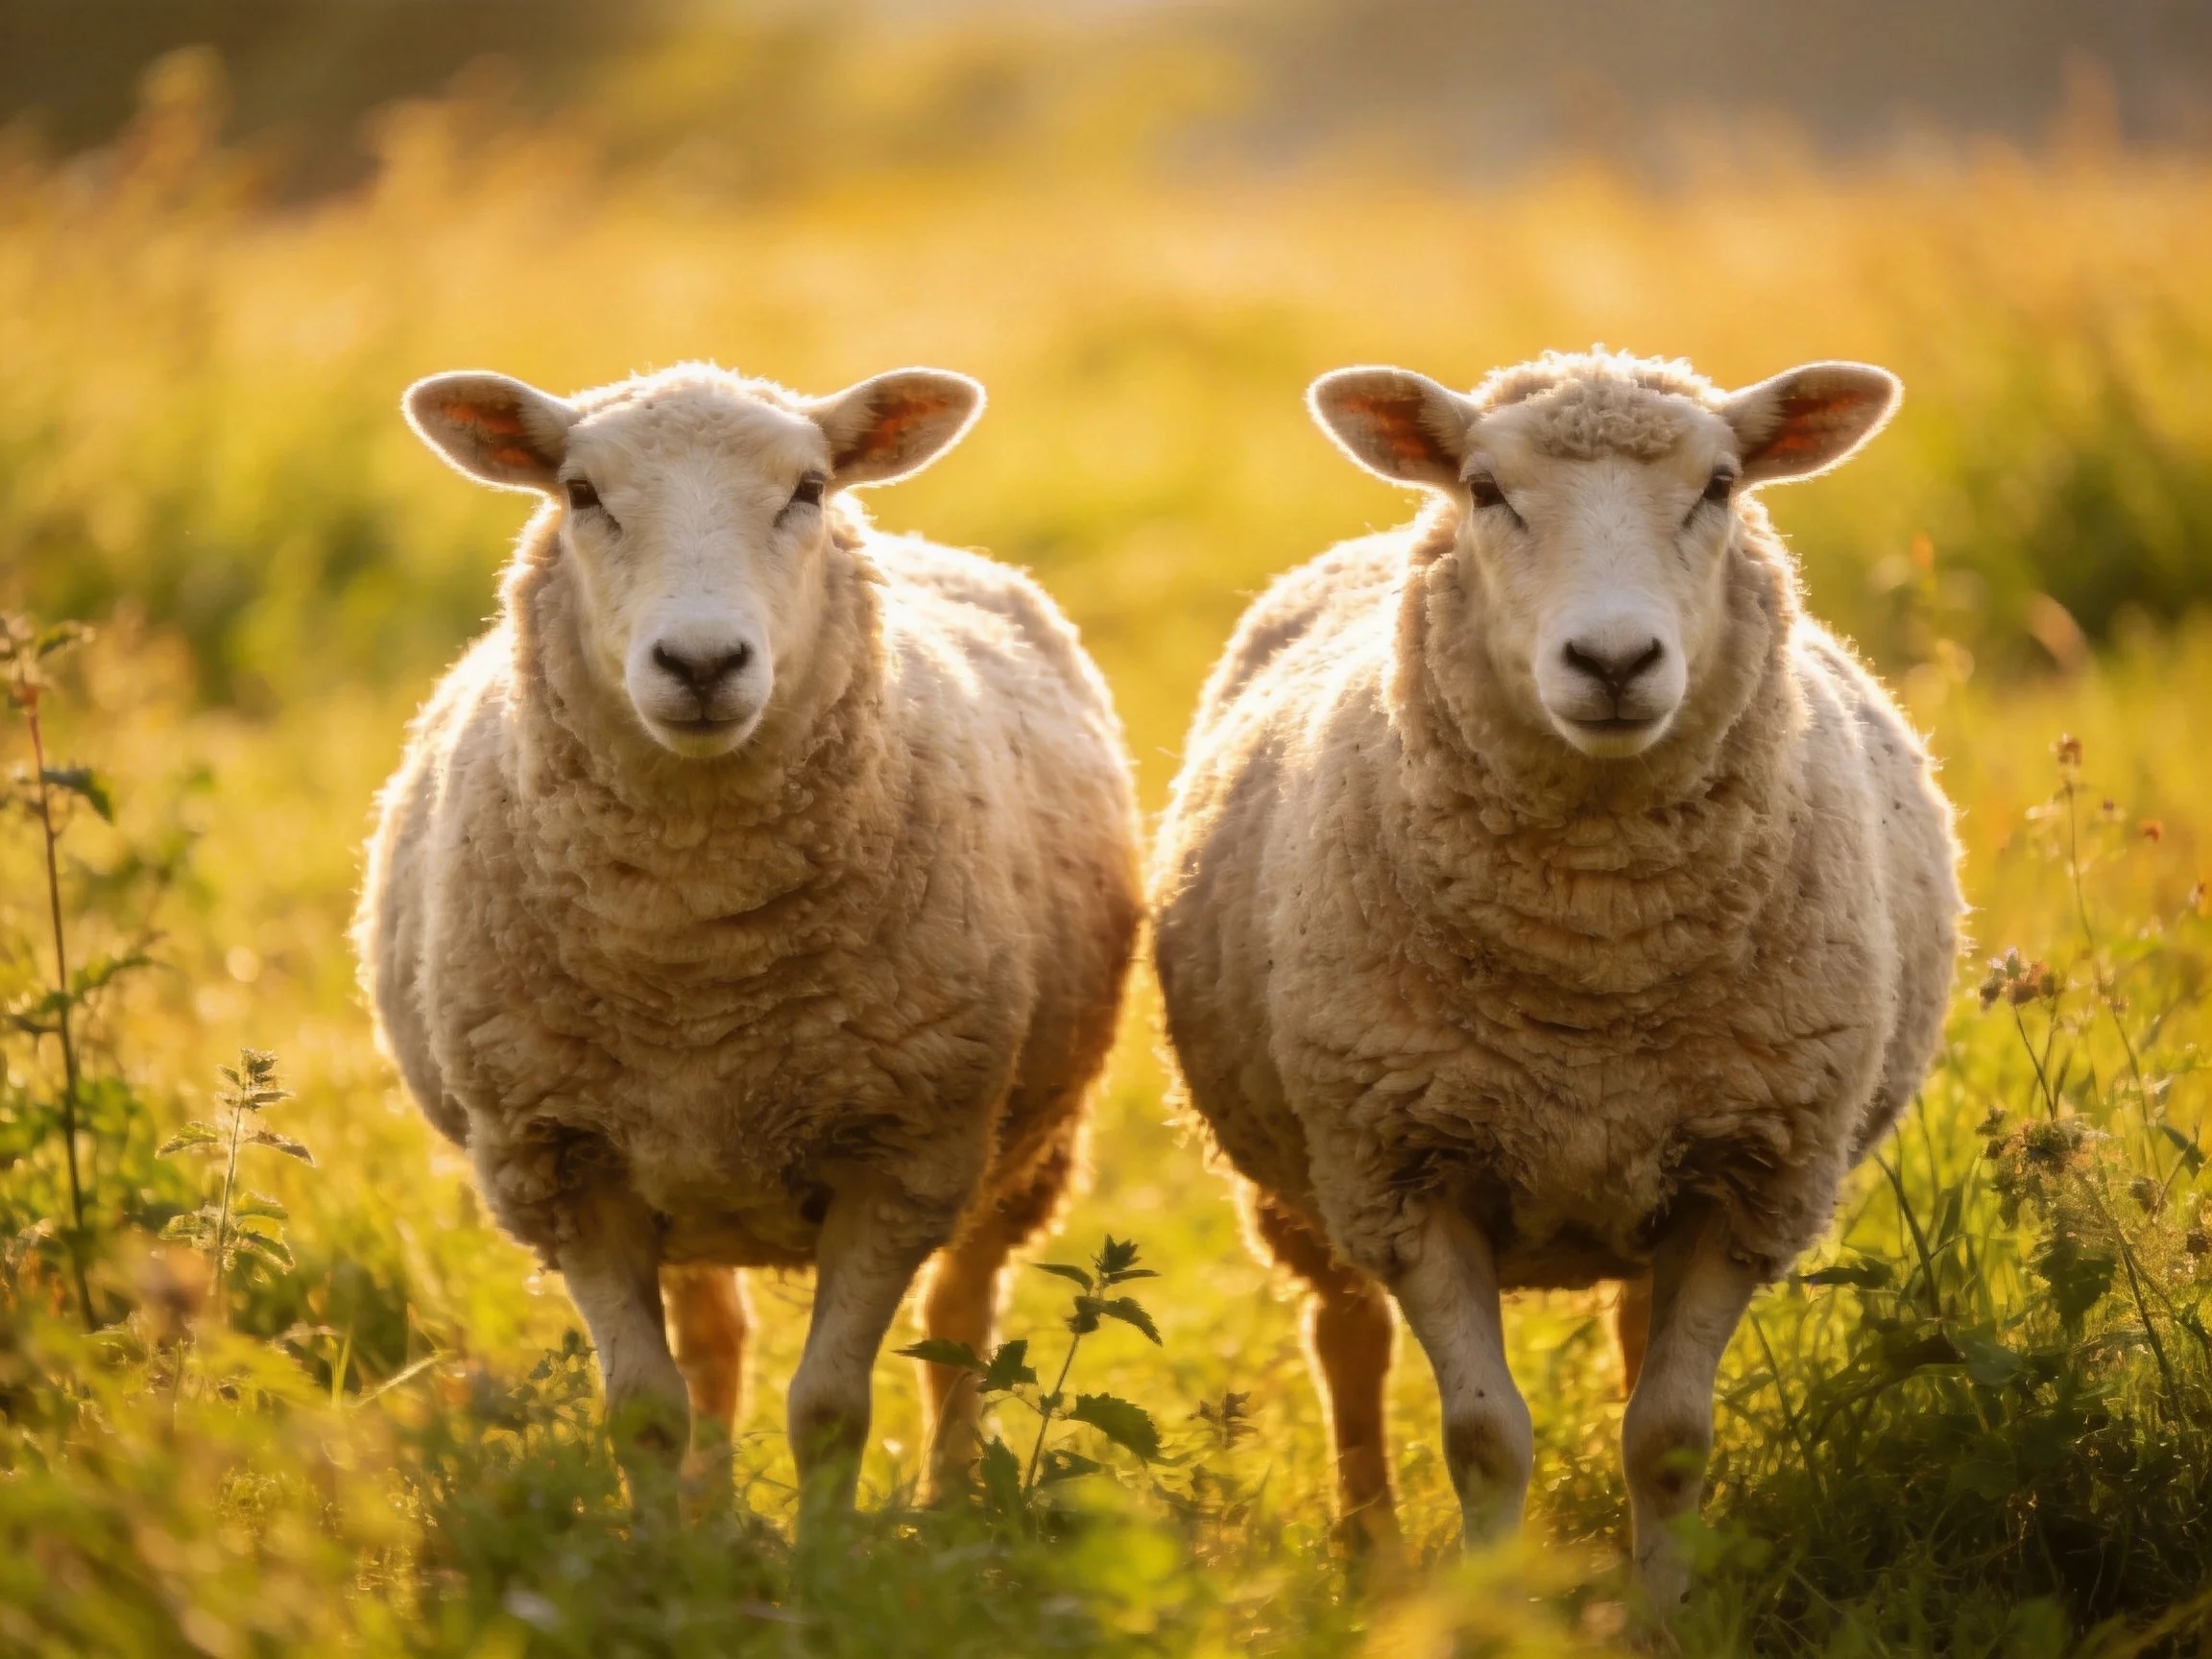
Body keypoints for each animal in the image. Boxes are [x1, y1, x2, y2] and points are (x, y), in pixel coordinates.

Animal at [355, 361, 1142, 1513]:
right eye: (581, 493)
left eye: (807, 489)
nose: (700, 661)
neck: (697, 957)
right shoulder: (562, 1164)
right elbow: (644, 1410)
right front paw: (664, 1545)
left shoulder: (902, 1158)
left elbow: (830, 1409)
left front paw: (830, 1557)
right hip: (678, 1173)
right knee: (716, 1344)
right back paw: (709, 1508)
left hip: (1021, 1148)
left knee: (959, 1321)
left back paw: (953, 1500)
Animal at [1150, 349, 1960, 1598]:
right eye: (1487, 490)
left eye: (1720, 484)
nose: (1614, 661)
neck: (1597, 953)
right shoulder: (1406, 1174)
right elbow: (1485, 1439)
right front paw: (1488, 1605)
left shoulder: (1750, 1181)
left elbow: (1668, 1437)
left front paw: (1667, 1612)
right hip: (1309, 1179)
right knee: (1345, 1339)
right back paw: (1368, 1548)